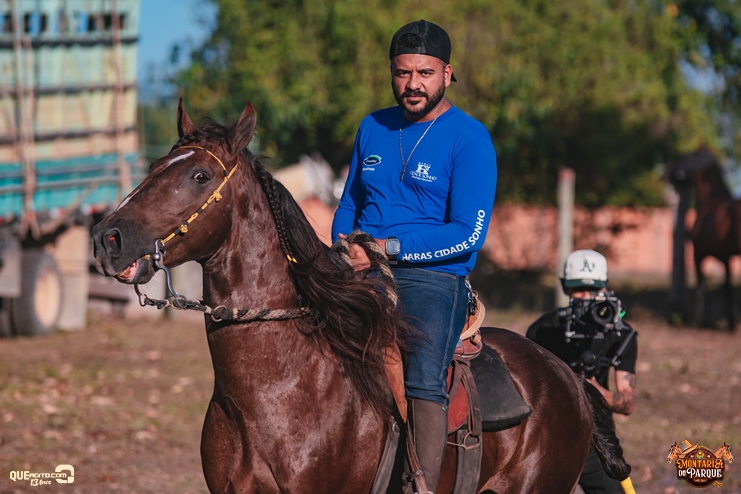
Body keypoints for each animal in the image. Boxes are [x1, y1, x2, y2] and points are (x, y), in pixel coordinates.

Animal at [669, 148, 739, 331]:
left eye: (686, 157)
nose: (669, 173)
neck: (711, 201)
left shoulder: (698, 255)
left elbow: (701, 287)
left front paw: (699, 320)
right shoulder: (725, 257)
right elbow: (728, 289)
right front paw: (731, 321)